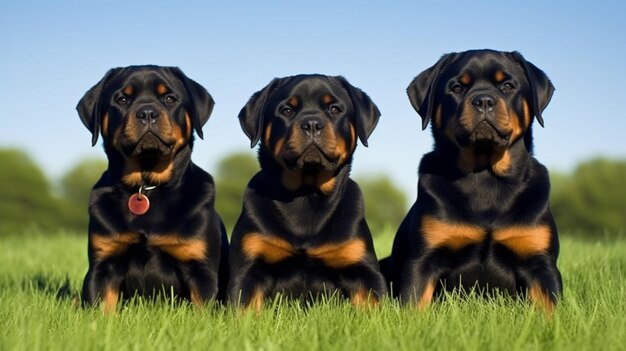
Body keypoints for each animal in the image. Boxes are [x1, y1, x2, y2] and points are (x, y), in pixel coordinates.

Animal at [76, 66, 227, 314]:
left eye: (170, 98)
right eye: (122, 99)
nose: (147, 112)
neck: (146, 186)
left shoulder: (200, 268)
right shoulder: (103, 264)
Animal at [227, 75, 388, 310]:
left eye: (334, 108)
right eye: (287, 110)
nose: (312, 124)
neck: (306, 195)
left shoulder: (362, 268)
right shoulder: (248, 268)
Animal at [382, 50, 564, 314]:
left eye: (507, 86)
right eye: (457, 87)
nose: (484, 101)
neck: (485, 177)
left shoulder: (540, 263)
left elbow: (550, 308)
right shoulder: (422, 261)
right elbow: (414, 304)